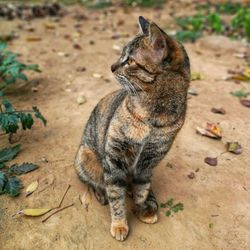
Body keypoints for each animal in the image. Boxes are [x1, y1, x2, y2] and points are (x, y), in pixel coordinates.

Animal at [74, 16, 189, 242]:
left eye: (130, 61)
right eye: (121, 55)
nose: (111, 66)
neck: (153, 116)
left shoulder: (147, 163)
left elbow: (141, 191)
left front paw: (141, 209)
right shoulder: (114, 159)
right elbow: (116, 197)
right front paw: (119, 224)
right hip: (86, 156)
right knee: (93, 181)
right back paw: (101, 194)